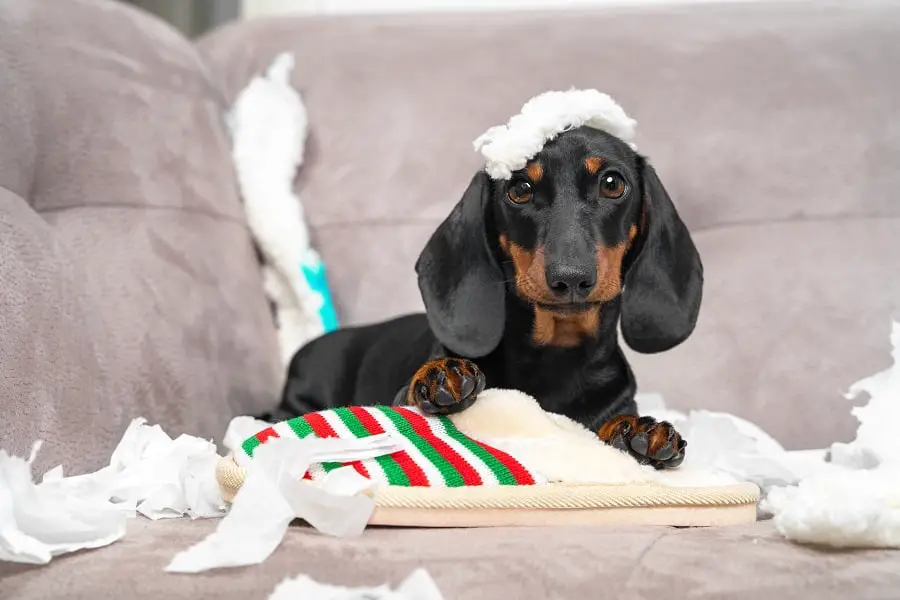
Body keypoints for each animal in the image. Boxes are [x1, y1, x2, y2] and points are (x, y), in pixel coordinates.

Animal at [260, 125, 704, 468]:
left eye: (613, 183)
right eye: (520, 188)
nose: (571, 278)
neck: (556, 355)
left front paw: (638, 430)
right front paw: (442, 374)